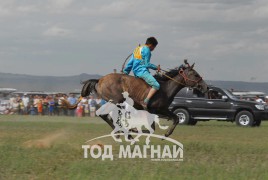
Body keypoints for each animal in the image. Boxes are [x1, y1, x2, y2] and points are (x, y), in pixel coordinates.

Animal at [62, 61, 207, 137]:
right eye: (195, 74)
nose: (205, 86)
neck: (165, 88)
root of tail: (100, 80)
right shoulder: (155, 109)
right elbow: (153, 127)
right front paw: (135, 130)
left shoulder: (161, 110)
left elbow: (175, 118)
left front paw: (166, 134)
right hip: (117, 101)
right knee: (107, 116)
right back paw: (125, 133)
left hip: (114, 103)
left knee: (104, 115)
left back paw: (122, 133)